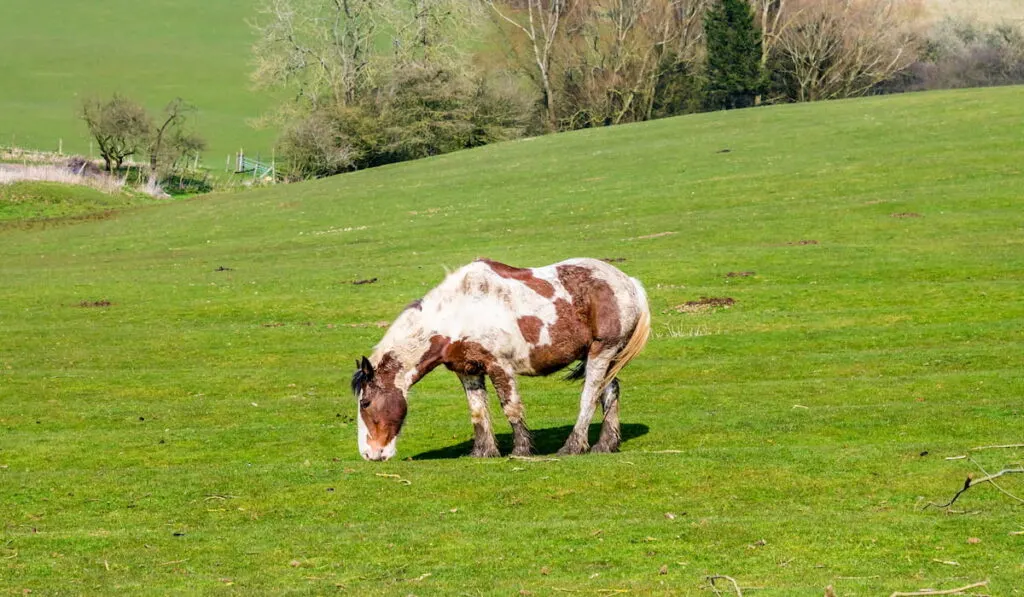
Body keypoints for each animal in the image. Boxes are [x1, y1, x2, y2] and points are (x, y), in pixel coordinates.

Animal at [350, 258, 647, 462]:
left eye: (365, 402)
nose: (369, 454)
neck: (458, 314)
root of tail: (628, 282)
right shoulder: (467, 370)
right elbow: (478, 411)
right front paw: (483, 451)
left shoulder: (499, 366)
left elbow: (511, 408)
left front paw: (521, 449)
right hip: (602, 356)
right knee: (609, 391)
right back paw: (605, 445)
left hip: (602, 351)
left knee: (589, 396)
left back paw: (573, 446)